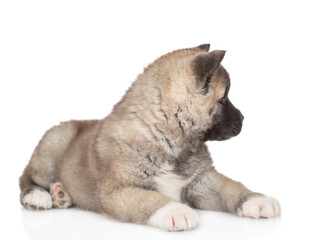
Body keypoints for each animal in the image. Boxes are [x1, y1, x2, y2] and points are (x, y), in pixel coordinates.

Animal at [19, 44, 280, 231]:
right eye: (224, 99)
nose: (243, 118)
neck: (166, 138)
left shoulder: (201, 180)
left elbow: (230, 187)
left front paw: (257, 200)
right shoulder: (119, 192)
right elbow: (150, 198)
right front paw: (176, 211)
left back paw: (61, 195)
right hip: (52, 145)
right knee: (26, 177)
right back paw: (41, 196)